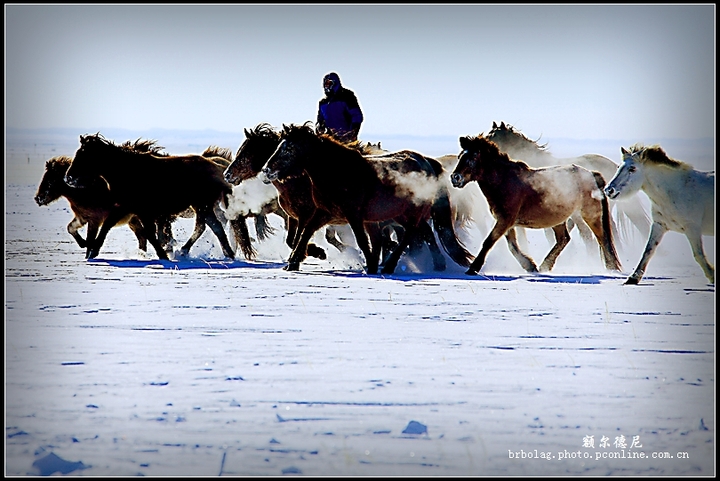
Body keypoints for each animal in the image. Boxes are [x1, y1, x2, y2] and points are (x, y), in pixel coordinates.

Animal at [262, 123, 476, 274]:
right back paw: (436, 264)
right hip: (401, 215)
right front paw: (294, 262)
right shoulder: (325, 212)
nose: (267, 170)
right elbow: (305, 233)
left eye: (289, 148)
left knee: (410, 236)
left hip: (411, 214)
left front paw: (371, 266)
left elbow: (363, 241)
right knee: (421, 234)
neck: (338, 172)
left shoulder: (354, 215)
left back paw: (390, 266)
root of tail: (427, 161)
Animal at [448, 133, 620, 276]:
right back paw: (545, 266)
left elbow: (489, 241)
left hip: (589, 215)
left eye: (473, 158)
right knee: (564, 239)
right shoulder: (506, 221)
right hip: (559, 219)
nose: (455, 178)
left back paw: (612, 268)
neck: (505, 181)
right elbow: (512, 245)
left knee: (602, 238)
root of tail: (591, 174)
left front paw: (473, 268)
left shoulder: (505, 220)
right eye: (460, 156)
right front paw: (530, 266)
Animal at [600, 144, 716, 284]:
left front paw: (712, 276)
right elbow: (648, 251)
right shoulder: (659, 225)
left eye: (632, 168)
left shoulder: (692, 228)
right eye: (618, 167)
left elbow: (699, 255)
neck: (676, 190)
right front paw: (633, 278)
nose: (608, 190)